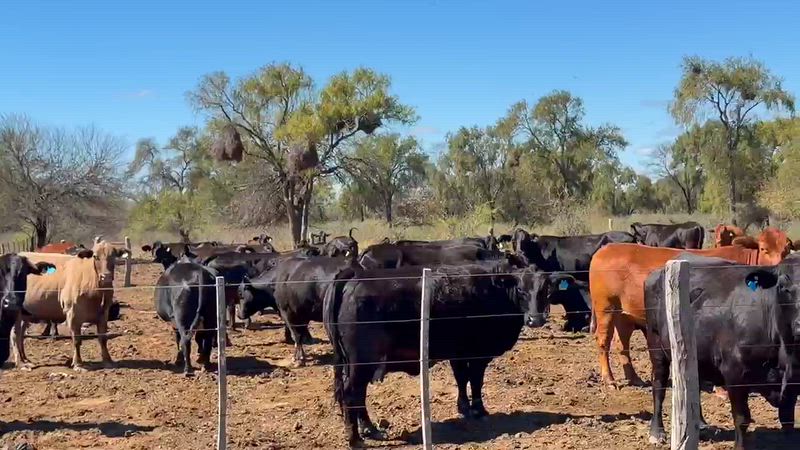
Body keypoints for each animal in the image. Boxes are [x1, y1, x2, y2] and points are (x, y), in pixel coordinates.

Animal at [13, 241, 130, 371]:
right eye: (95, 256)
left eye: (114, 257)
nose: (106, 276)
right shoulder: (73, 313)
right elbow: (77, 340)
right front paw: (78, 364)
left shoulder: (103, 314)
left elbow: (103, 338)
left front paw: (108, 361)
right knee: (15, 336)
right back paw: (20, 363)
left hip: (25, 315)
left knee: (20, 335)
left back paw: (25, 359)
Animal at [323, 262, 535, 448]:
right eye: (521, 290)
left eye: (542, 289)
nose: (535, 319)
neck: (493, 288)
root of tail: (355, 275)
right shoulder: (479, 354)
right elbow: (475, 381)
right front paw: (479, 410)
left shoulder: (458, 353)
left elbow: (461, 379)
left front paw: (464, 408)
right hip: (362, 363)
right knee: (351, 394)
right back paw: (355, 439)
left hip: (353, 364)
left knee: (358, 395)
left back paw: (370, 429)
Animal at [588, 228, 793, 387]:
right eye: (764, 249)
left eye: (786, 250)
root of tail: (606, 249)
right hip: (605, 307)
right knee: (603, 341)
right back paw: (609, 379)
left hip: (624, 314)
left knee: (622, 344)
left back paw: (634, 378)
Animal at [644, 253, 800, 449]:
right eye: (783, 287)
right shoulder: (735, 373)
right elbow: (742, 418)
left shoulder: (793, 382)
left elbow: (788, 420)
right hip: (656, 347)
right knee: (658, 386)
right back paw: (656, 432)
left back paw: (700, 425)